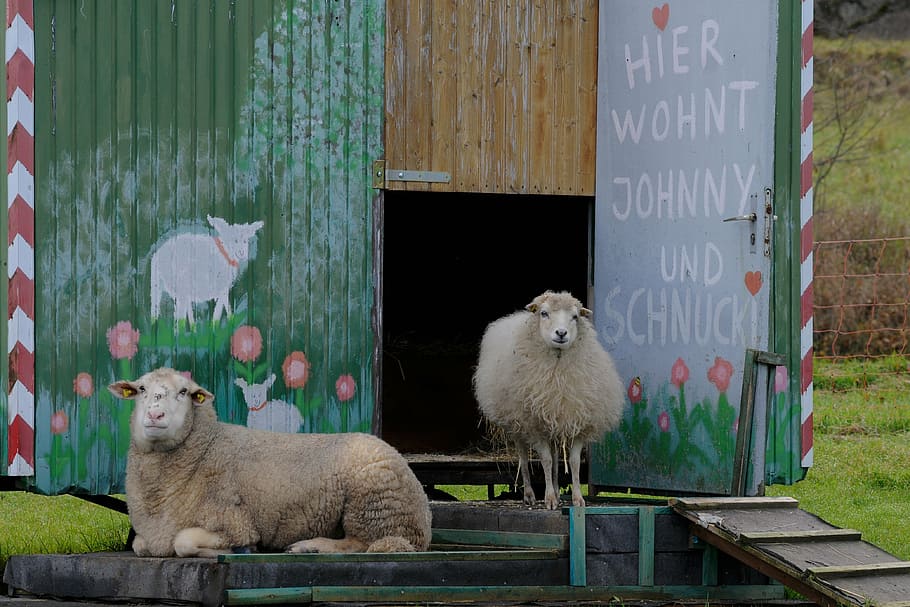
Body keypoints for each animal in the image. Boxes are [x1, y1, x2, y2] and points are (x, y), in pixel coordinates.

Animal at [108, 368, 432, 557]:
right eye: (141, 390)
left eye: (184, 392)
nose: (155, 415)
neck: (206, 448)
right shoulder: (149, 537)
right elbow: (139, 546)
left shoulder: (235, 523)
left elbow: (183, 542)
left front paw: (240, 550)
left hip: (371, 507)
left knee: (360, 544)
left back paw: (309, 546)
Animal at [473, 291, 624, 510]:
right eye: (544, 313)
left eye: (575, 316)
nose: (561, 333)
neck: (558, 373)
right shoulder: (535, 425)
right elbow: (545, 460)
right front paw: (550, 498)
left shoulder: (577, 421)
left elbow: (573, 462)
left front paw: (577, 498)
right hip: (517, 424)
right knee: (524, 458)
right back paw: (529, 494)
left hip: (552, 423)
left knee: (554, 457)